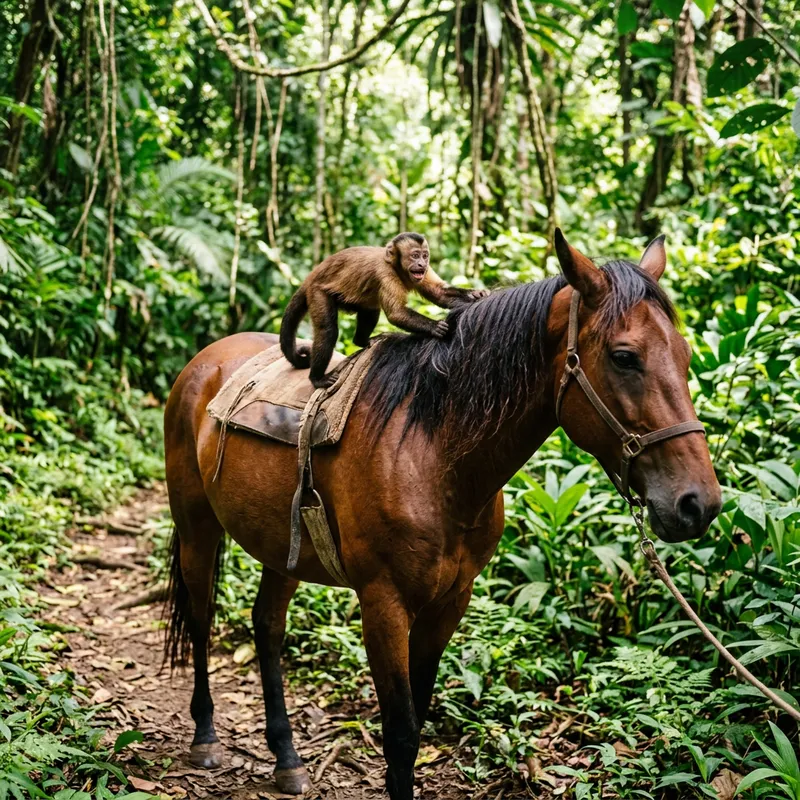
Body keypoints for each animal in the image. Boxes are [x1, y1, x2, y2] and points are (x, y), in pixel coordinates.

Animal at [280, 232, 489, 388]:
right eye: (415, 255)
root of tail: (312, 275)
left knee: (371, 309)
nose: (421, 264)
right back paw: (317, 379)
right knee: (328, 330)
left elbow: (439, 294)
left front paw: (476, 294)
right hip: (317, 292)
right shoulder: (385, 273)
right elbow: (396, 314)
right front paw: (435, 327)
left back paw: (361, 341)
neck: (397, 268)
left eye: (425, 255)